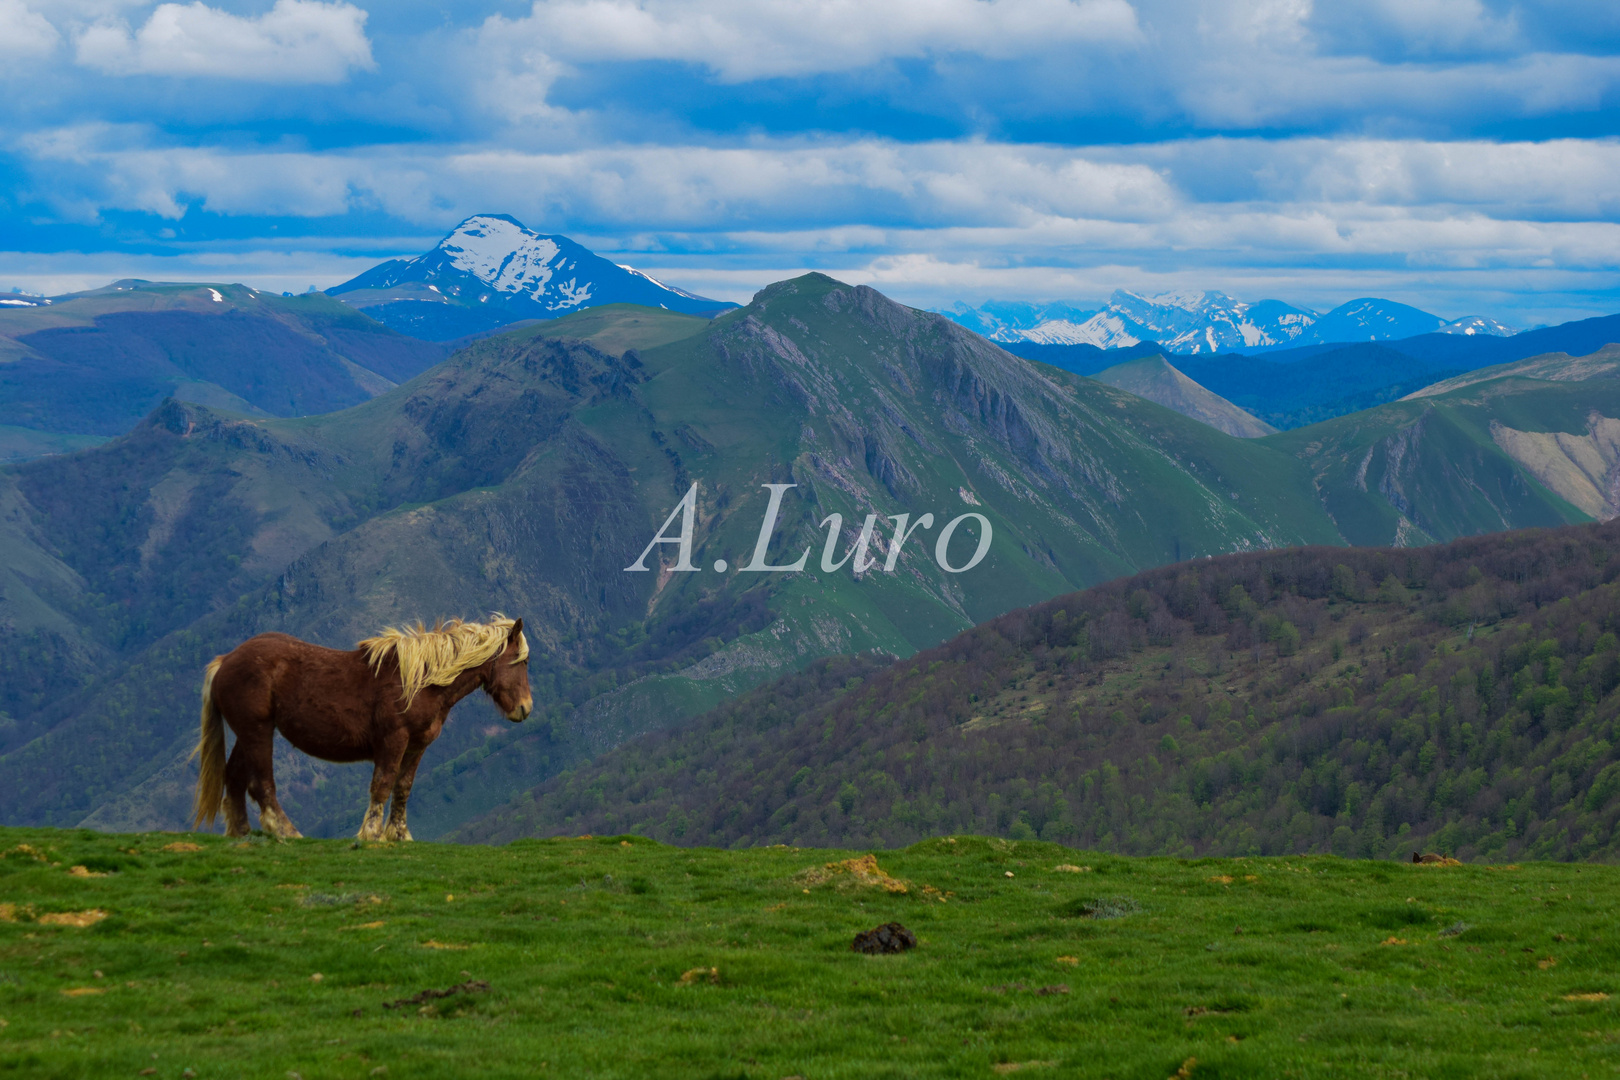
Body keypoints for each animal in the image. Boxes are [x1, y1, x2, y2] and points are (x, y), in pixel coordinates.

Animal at [189, 612, 531, 841]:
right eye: (523, 661)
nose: (525, 709)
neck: (422, 681)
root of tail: (226, 661)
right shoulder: (394, 740)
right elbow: (382, 783)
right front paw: (371, 834)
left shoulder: (417, 745)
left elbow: (403, 787)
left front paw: (399, 835)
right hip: (257, 731)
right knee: (261, 784)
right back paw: (287, 831)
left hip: (248, 732)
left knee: (234, 776)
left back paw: (242, 833)